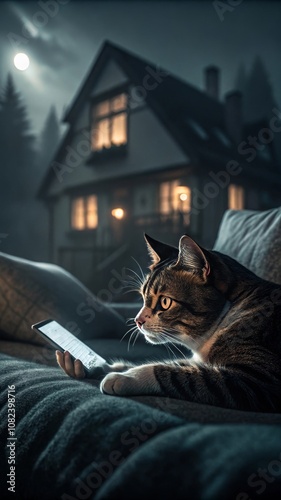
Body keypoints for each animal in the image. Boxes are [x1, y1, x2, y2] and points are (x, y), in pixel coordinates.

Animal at [57, 235, 280, 414]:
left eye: (165, 302)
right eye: (143, 297)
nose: (137, 320)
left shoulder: (259, 381)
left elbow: (177, 373)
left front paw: (125, 378)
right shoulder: (198, 361)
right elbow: (174, 364)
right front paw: (93, 366)